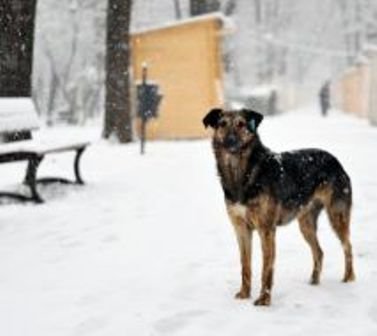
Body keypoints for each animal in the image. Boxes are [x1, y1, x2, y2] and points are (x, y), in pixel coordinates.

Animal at [201, 109, 354, 306]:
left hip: (337, 216)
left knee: (348, 246)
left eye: (241, 124)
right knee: (319, 252)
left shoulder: (266, 229)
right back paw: (314, 281)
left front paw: (264, 300)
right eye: (222, 124)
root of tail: (336, 161)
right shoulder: (241, 229)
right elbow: (245, 265)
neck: (242, 173)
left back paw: (348, 278)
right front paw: (244, 294)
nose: (231, 141)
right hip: (306, 224)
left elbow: (267, 268)